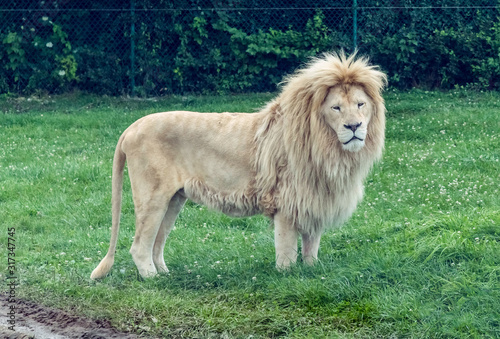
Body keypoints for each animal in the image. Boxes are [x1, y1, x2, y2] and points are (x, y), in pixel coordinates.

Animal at [90, 49, 386, 278]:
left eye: (360, 104)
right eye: (336, 108)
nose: (354, 126)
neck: (330, 149)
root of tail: (131, 127)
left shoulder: (314, 201)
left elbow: (311, 246)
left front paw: (312, 271)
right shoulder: (285, 203)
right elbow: (287, 249)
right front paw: (287, 275)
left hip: (174, 199)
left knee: (156, 243)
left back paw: (164, 273)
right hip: (153, 197)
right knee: (140, 245)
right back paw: (152, 279)